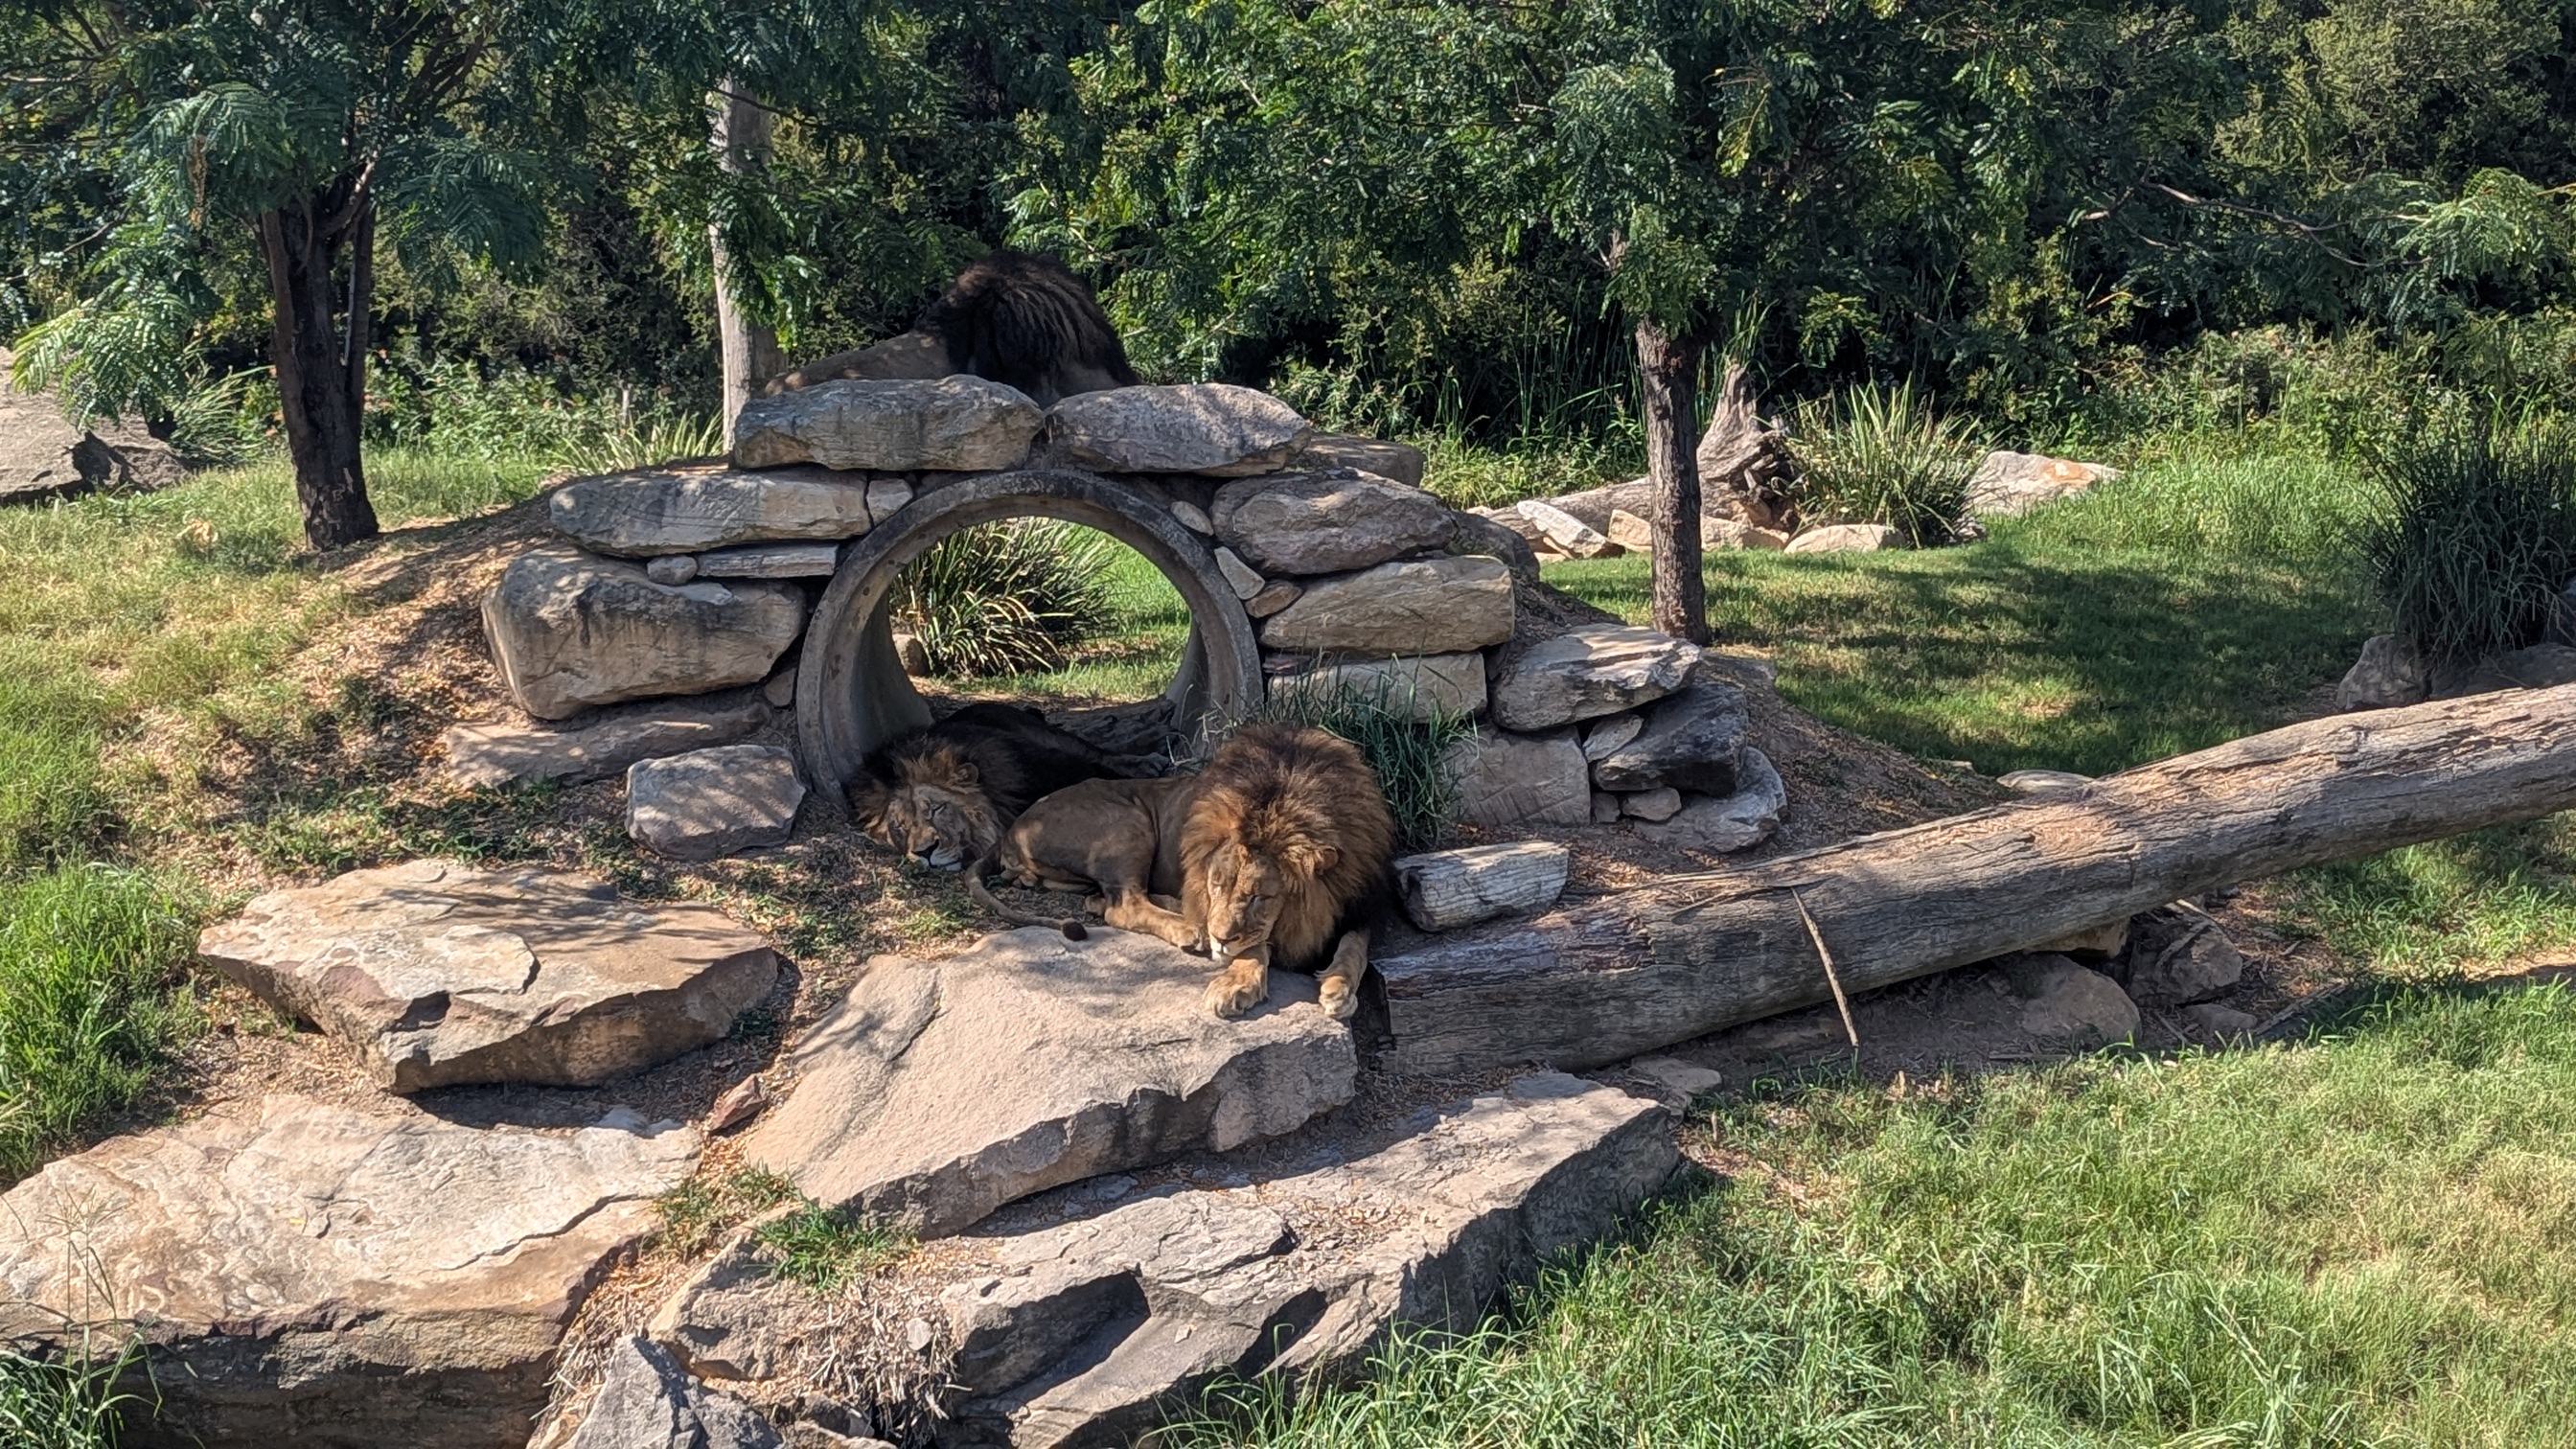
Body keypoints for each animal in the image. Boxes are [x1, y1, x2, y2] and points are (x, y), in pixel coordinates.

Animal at [968, 724, 1396, 1021]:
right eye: (1216, 884)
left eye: (1259, 897)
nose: (1220, 937)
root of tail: (1012, 828)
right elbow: (1254, 946)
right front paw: (1237, 983)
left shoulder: (1363, 905)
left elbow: (1355, 948)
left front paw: (1339, 988)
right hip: (1128, 819)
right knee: (1122, 906)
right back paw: (1190, 929)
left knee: (1102, 900)